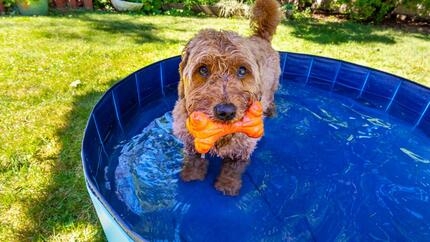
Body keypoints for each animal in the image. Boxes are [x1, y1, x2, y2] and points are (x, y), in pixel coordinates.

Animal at [171, 0, 282, 196]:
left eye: (242, 70)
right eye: (203, 69)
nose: (226, 112)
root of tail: (260, 37)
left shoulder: (242, 147)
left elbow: (233, 168)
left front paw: (227, 185)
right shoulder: (191, 141)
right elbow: (194, 160)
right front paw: (192, 176)